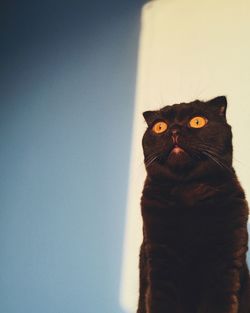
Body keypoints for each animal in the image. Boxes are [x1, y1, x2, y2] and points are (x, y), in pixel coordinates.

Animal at [138, 95, 250, 312]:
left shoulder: (226, 262)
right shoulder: (159, 260)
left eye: (197, 121)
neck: (187, 191)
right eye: (160, 127)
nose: (174, 130)